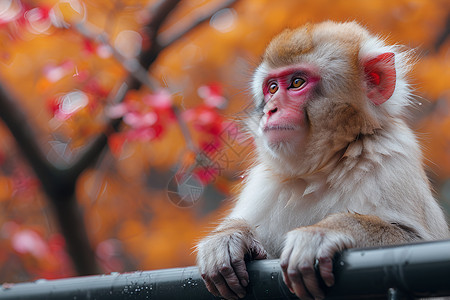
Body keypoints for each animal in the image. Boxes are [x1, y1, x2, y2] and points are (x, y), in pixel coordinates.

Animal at [195, 21, 448, 300]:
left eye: (297, 82)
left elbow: (417, 243)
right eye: (272, 88)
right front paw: (231, 236)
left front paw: (324, 232)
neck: (321, 169)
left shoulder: (393, 155)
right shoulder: (264, 184)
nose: (270, 110)